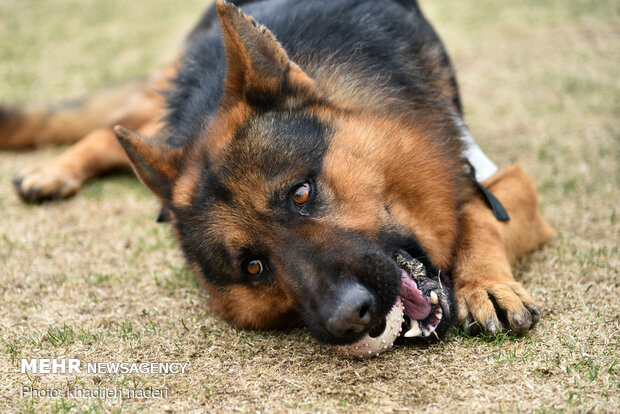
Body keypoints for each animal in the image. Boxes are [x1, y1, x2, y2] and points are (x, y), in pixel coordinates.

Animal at [0, 0, 552, 352]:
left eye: (301, 193)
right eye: (253, 267)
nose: (351, 316)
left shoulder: (494, 177)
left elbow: (479, 213)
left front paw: (487, 284)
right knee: (106, 128)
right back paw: (53, 171)